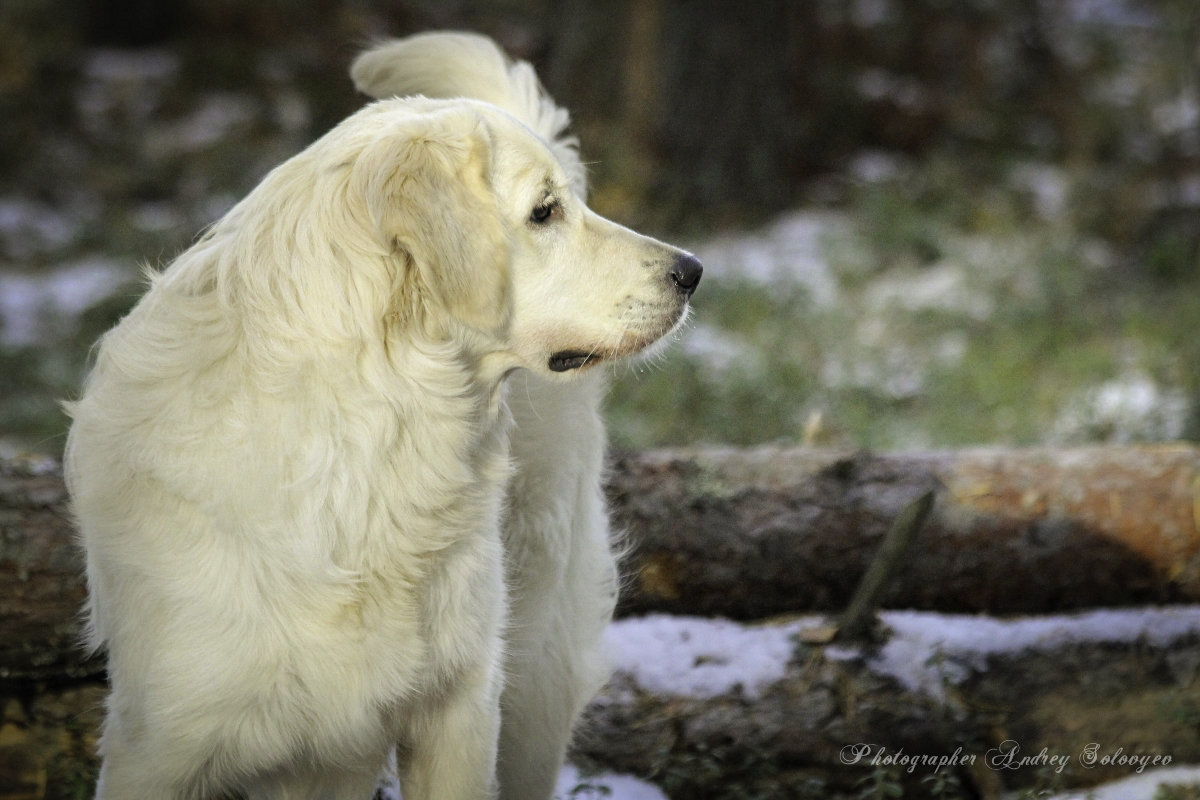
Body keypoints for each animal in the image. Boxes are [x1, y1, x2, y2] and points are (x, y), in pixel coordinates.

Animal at [65, 29, 700, 800]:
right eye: (545, 211)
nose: (692, 270)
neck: (371, 435)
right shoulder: (159, 743)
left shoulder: (458, 711)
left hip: (532, 670)